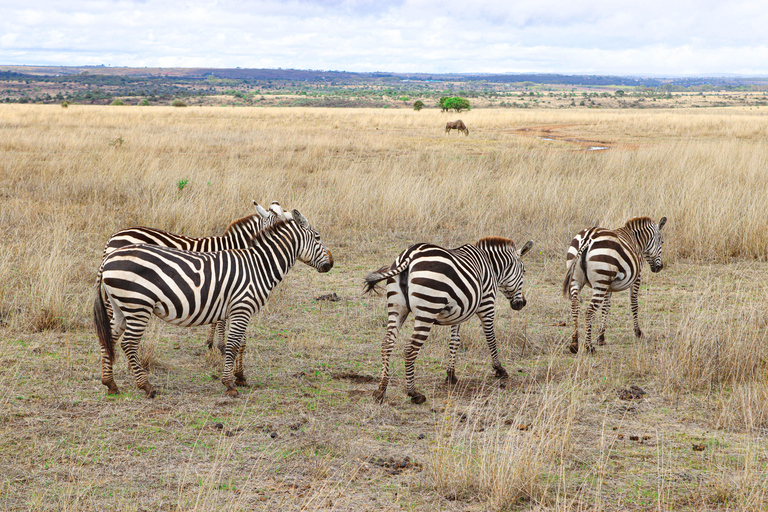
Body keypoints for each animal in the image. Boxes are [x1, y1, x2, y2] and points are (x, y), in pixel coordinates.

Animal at [97, 202, 284, 354]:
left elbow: (217, 317)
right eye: (275, 227)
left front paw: (210, 342)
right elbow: (222, 320)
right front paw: (220, 346)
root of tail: (113, 237)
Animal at [362, 236, 532, 404]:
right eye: (524, 271)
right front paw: (499, 369)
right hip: (427, 309)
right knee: (410, 349)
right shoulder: (487, 304)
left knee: (387, 343)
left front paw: (451, 374)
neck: (492, 266)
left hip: (397, 307)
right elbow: (491, 338)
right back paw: (414, 393)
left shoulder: (460, 310)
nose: (522, 303)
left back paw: (381, 390)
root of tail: (409, 255)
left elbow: (455, 341)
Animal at [560, 214, 668, 354]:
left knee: (575, 306)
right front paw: (638, 332)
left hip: (577, 279)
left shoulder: (609, 284)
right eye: (662, 242)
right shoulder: (636, 277)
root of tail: (588, 238)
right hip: (600, 281)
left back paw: (574, 344)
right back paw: (589, 347)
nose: (659, 268)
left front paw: (601, 337)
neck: (637, 241)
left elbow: (606, 306)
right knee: (589, 311)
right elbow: (634, 303)